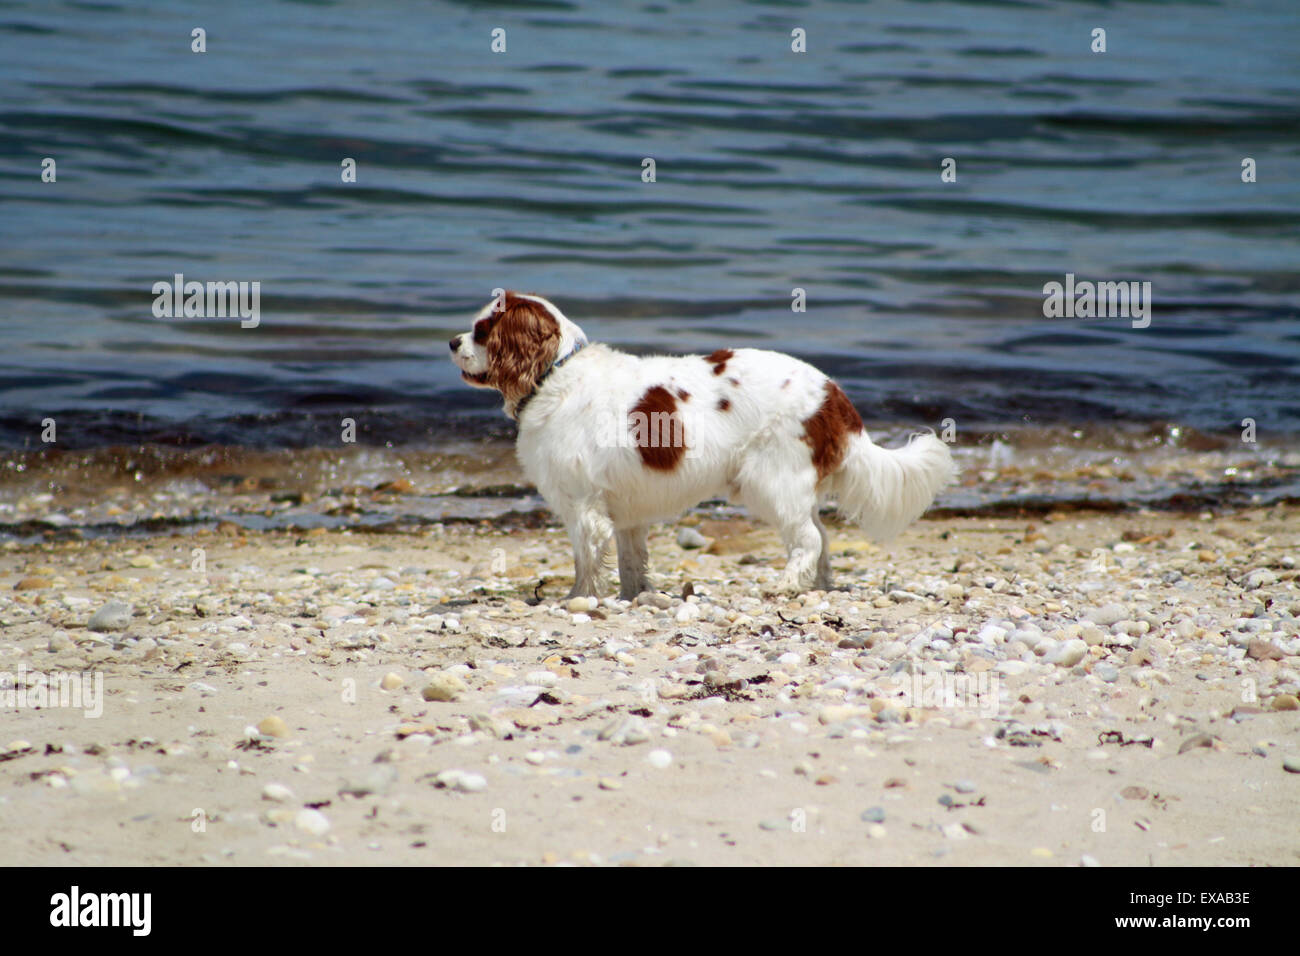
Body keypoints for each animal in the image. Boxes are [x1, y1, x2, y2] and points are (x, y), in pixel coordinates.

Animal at [454, 291, 956, 598]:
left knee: (809, 538)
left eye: (482, 330)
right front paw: (633, 597)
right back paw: (814, 587)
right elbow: (630, 560)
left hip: (771, 481)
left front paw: (579, 600)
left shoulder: (584, 507)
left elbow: (586, 561)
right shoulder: (625, 512)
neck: (554, 374)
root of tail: (834, 393)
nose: (452, 340)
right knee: (822, 537)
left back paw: (785, 586)